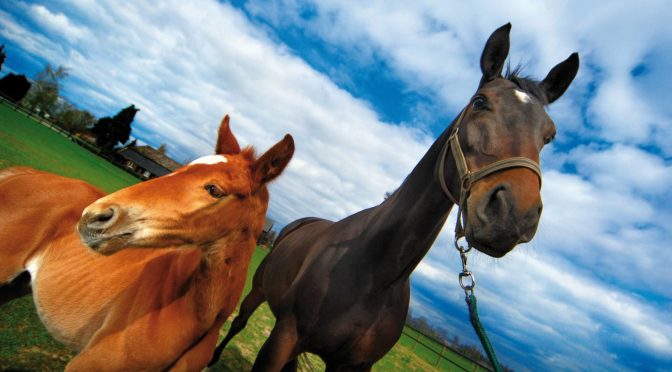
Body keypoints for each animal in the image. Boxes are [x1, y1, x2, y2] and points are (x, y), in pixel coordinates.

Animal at [213, 24, 580, 372]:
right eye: (480, 102)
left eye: (549, 135)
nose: (513, 214)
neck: (374, 272)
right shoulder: (284, 337)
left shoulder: (354, 365)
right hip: (258, 290)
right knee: (238, 322)